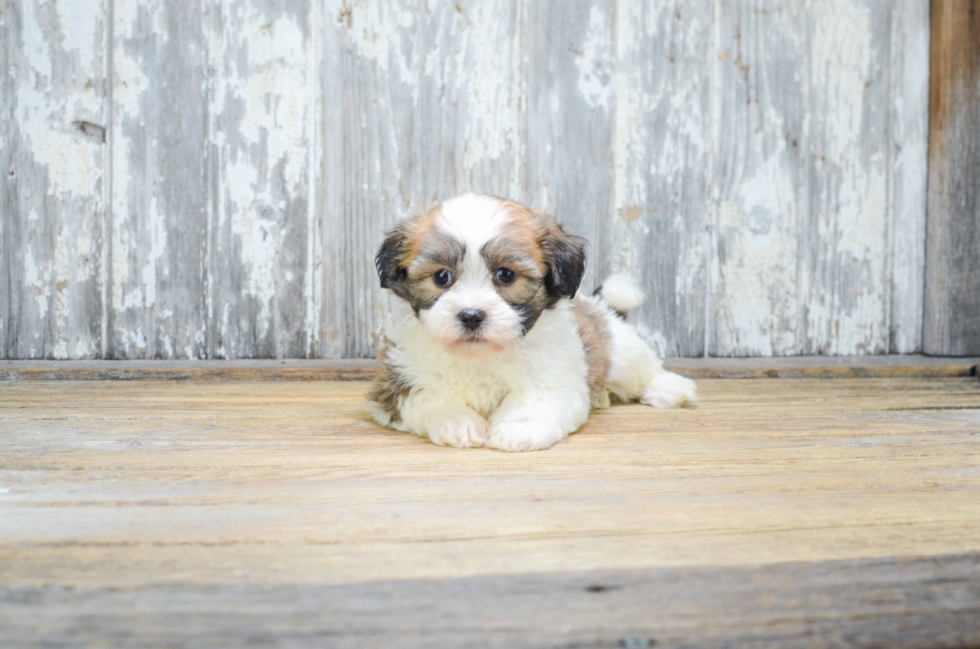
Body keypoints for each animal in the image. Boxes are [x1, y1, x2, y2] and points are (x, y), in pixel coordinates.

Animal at [368, 194, 696, 450]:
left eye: (506, 275)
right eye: (441, 276)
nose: (471, 316)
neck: (480, 356)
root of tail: (597, 305)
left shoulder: (553, 375)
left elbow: (534, 402)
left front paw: (519, 428)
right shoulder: (397, 381)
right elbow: (429, 397)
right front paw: (458, 422)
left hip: (618, 347)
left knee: (640, 369)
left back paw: (670, 388)